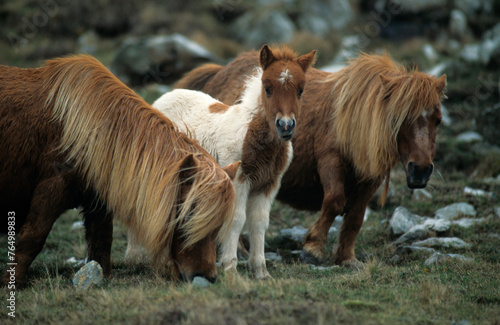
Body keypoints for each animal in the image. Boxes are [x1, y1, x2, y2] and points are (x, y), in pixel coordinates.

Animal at [0, 53, 239, 284]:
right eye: (189, 216)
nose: (207, 277)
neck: (88, 133)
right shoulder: (51, 190)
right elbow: (32, 238)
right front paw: (12, 282)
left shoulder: (97, 203)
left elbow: (101, 244)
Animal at [129, 44, 316, 278]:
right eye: (267, 88)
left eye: (301, 90)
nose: (285, 126)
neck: (251, 133)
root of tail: (161, 99)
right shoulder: (238, 178)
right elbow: (236, 219)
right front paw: (230, 268)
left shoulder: (268, 184)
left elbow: (259, 222)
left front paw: (261, 271)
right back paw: (136, 258)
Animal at [173, 50, 446, 268]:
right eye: (398, 119)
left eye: (437, 121)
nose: (421, 170)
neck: (354, 118)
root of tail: (220, 72)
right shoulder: (330, 161)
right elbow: (334, 202)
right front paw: (312, 248)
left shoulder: (370, 178)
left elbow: (355, 216)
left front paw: (347, 258)